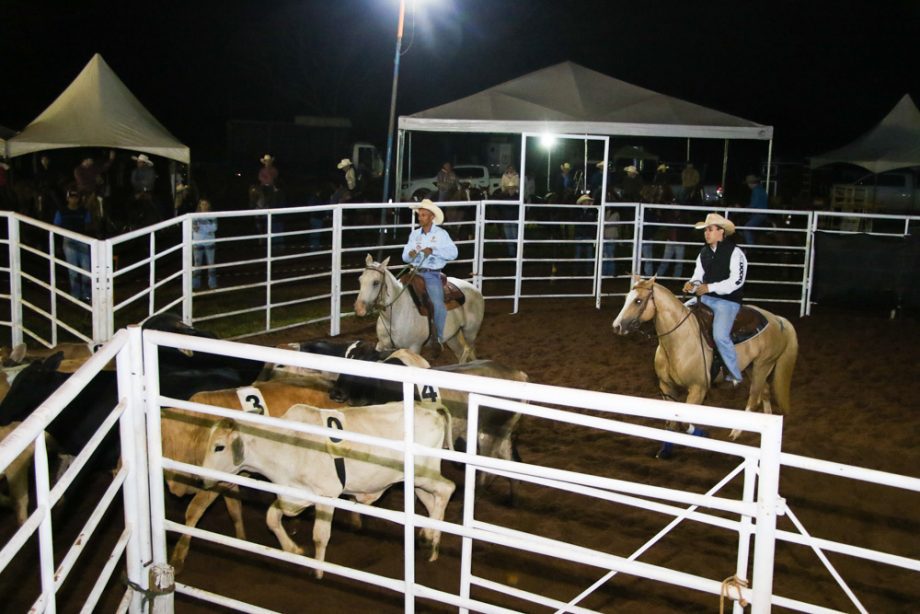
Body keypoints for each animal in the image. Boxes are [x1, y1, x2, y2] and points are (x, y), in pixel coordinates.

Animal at [352, 254, 486, 364]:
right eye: (360, 280)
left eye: (375, 282)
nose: (359, 309)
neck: (395, 314)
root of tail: (475, 289)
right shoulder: (382, 344)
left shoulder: (414, 348)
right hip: (452, 336)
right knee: (461, 351)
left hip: (470, 331)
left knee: (468, 349)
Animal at [612, 280, 796, 442]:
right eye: (627, 298)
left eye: (638, 301)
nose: (617, 326)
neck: (680, 340)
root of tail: (777, 320)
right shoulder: (666, 386)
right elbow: (671, 424)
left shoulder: (698, 389)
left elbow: (685, 422)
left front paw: (701, 434)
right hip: (752, 368)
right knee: (764, 391)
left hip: (762, 366)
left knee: (754, 397)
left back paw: (735, 433)